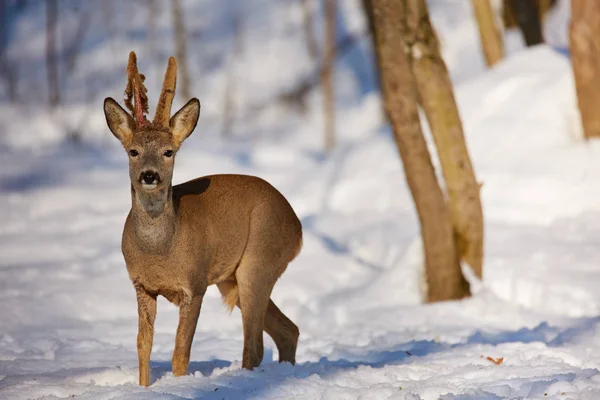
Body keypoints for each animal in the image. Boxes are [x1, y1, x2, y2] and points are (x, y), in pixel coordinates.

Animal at [103, 51, 302, 386]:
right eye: (133, 151)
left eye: (169, 151)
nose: (149, 175)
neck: (160, 250)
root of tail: (298, 227)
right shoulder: (141, 285)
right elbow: (144, 345)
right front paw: (143, 387)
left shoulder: (194, 284)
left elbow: (180, 351)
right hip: (230, 277)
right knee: (288, 330)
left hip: (259, 260)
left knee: (255, 345)